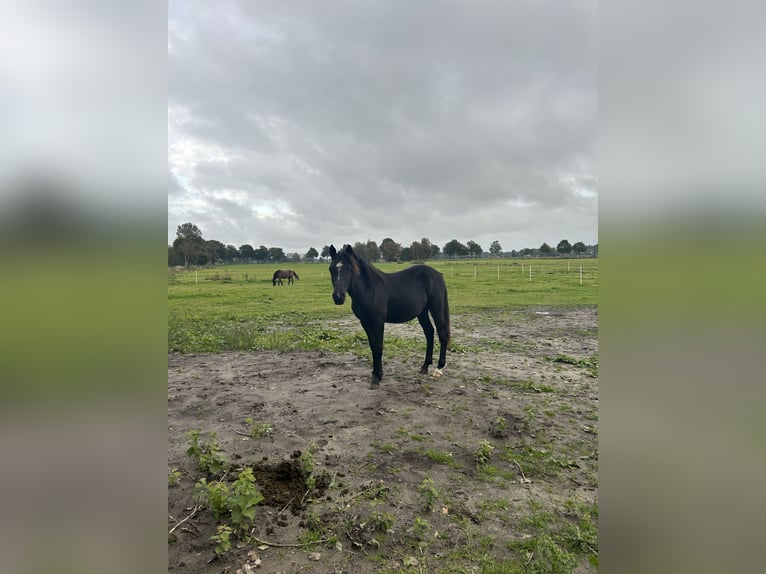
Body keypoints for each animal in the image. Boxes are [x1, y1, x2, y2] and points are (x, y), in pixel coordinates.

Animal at [328, 244, 450, 392]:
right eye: (331, 269)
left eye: (349, 269)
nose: (338, 297)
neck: (369, 290)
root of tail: (438, 274)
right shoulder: (365, 322)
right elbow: (372, 347)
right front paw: (375, 374)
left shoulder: (378, 322)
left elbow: (378, 347)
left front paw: (377, 378)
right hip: (422, 312)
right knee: (429, 332)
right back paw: (425, 366)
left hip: (436, 308)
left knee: (442, 333)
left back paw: (439, 369)